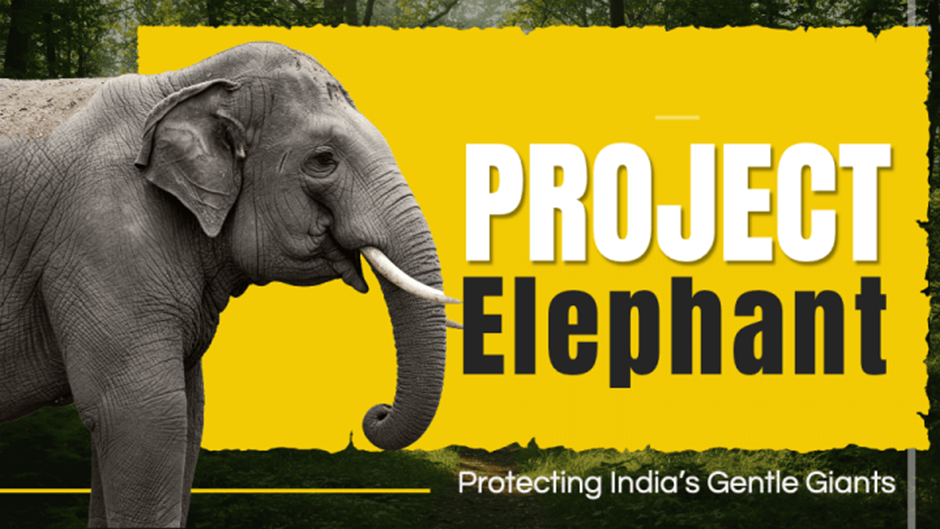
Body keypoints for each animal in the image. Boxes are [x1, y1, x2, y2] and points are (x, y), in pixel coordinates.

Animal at [0, 42, 458, 527]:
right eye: (323, 160)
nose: (376, 413)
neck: (185, 83)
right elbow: (140, 415)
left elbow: (190, 412)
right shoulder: (104, 235)